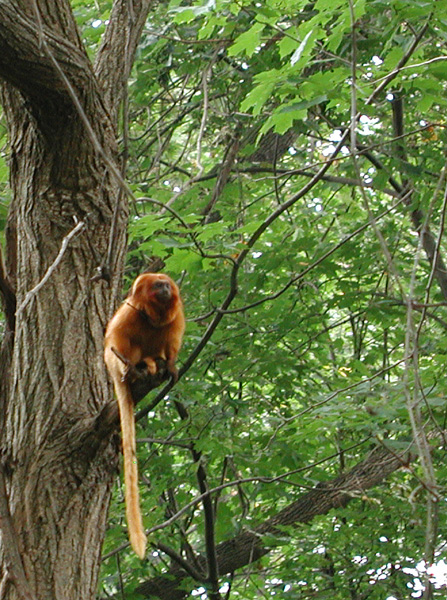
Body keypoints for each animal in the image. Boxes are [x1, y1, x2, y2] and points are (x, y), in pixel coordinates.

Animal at [104, 272, 185, 556]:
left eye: (166, 285)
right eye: (157, 286)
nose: (164, 289)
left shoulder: (176, 318)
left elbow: (171, 346)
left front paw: (170, 365)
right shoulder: (129, 313)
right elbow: (113, 342)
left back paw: (155, 363)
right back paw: (141, 366)